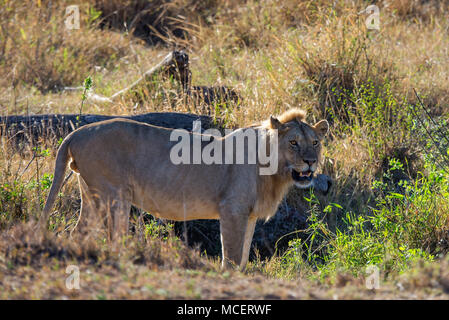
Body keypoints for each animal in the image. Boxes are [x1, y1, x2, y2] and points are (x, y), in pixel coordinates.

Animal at [40, 110, 328, 270]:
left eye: (315, 142)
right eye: (293, 142)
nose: (311, 162)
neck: (273, 170)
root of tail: (76, 132)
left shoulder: (249, 215)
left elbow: (244, 256)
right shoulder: (232, 209)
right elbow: (232, 256)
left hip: (91, 195)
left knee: (78, 232)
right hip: (115, 196)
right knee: (114, 237)